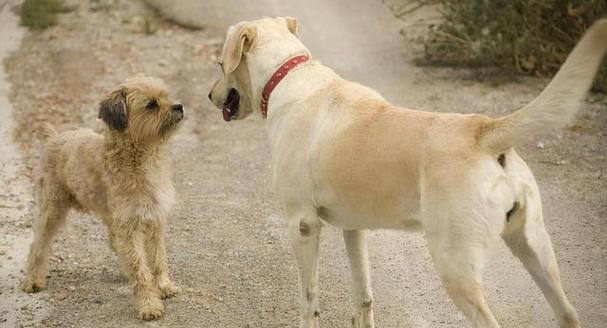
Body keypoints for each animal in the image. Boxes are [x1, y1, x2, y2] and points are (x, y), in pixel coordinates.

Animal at [20, 75, 183, 320]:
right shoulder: (129, 226)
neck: (139, 158)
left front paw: (163, 287)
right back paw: (32, 280)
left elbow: (157, 259)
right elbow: (140, 268)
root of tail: (53, 138)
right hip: (51, 210)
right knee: (38, 245)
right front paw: (148, 304)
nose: (179, 106)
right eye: (151, 105)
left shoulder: (154, 221)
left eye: (166, 96)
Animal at [210, 18, 607, 328]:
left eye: (219, 63)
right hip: (533, 247)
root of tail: (483, 129)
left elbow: (309, 300)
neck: (288, 75)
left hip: (455, 266)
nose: (210, 97)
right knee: (567, 312)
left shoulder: (302, 226)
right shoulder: (354, 229)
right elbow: (363, 296)